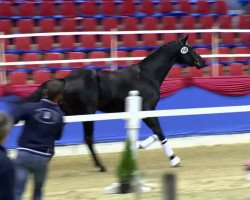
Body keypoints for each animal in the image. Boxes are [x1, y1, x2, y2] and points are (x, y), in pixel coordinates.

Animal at [22, 34, 205, 172]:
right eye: (190, 48)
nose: (202, 62)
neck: (147, 76)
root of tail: (65, 80)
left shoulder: (146, 111)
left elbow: (156, 132)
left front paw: (139, 146)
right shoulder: (147, 110)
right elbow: (160, 132)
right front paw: (174, 160)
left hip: (70, 112)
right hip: (87, 113)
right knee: (88, 139)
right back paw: (101, 166)